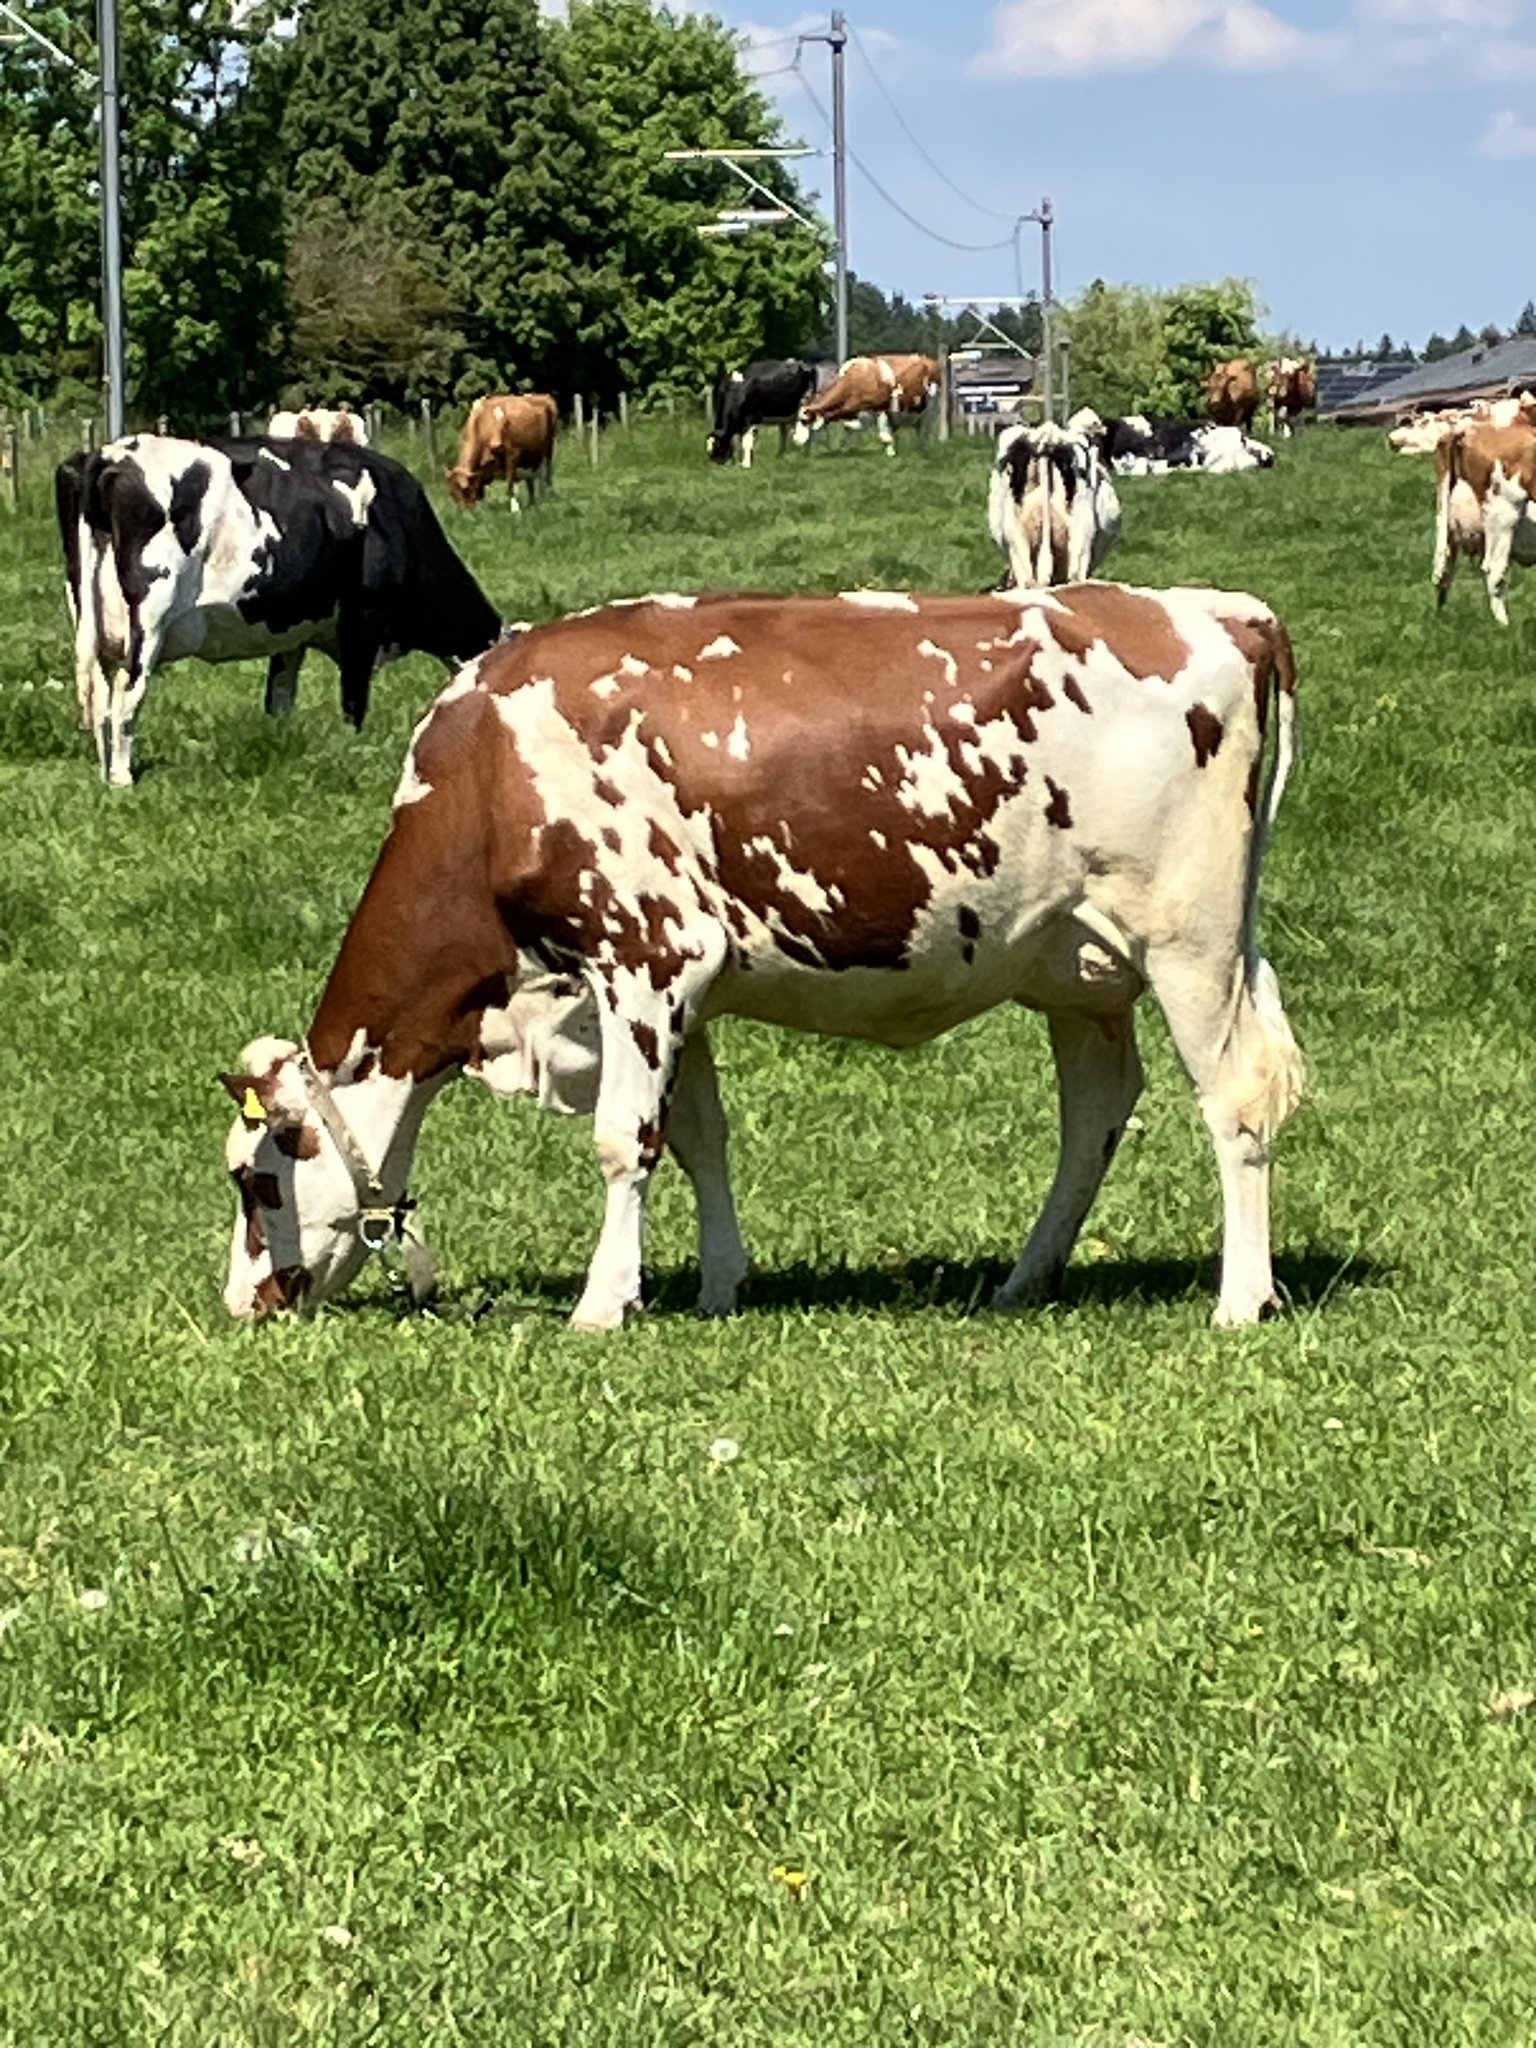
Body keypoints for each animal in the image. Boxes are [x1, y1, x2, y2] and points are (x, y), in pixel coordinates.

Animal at [57, 433, 502, 785]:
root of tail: (110, 453)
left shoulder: (292, 635)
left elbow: (280, 698)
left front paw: (282, 746)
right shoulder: (362, 623)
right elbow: (353, 702)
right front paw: (353, 752)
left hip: (91, 619)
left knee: (99, 696)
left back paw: (104, 773)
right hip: (149, 619)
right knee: (126, 695)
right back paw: (122, 779)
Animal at [219, 581, 1303, 1335]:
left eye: (257, 1180)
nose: (243, 1303)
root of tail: (1218, 608)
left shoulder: (649, 953)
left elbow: (623, 1140)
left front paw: (602, 1304)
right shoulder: (675, 984)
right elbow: (698, 1137)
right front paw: (716, 1283)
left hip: (1190, 937)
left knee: (1236, 1097)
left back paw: (1240, 1298)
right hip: (1076, 966)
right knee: (1095, 1114)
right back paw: (1024, 1278)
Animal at [794, 353, 940, 455]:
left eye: (803, 421)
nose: (795, 440)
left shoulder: (880, 412)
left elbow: (884, 437)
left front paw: (891, 453)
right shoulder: (861, 416)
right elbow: (849, 431)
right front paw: (841, 449)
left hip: (928, 413)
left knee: (924, 433)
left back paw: (923, 451)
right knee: (916, 432)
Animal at [1432, 417, 1536, 623]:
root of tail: (1467, 427)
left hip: (1448, 524)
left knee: (1443, 573)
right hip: (1504, 514)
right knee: (1494, 572)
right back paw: (1505, 627)